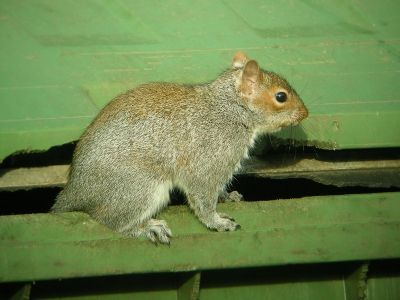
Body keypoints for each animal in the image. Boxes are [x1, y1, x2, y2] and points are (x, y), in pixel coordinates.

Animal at [49, 51, 306, 244]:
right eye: (281, 97)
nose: (305, 113)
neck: (228, 109)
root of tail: (74, 191)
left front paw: (227, 196)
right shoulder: (209, 156)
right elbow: (202, 195)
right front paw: (216, 222)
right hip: (138, 188)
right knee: (110, 221)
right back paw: (146, 228)